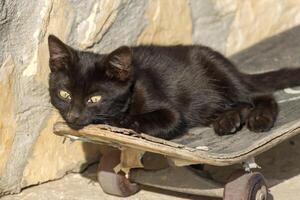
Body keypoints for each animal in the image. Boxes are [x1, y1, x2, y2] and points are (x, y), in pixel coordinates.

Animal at [48, 34, 300, 139]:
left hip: (222, 74)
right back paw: (228, 121)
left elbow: (147, 120)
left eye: (94, 99)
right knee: (238, 104)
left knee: (259, 95)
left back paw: (259, 118)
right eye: (64, 94)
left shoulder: (172, 114)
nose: (73, 116)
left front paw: (118, 121)